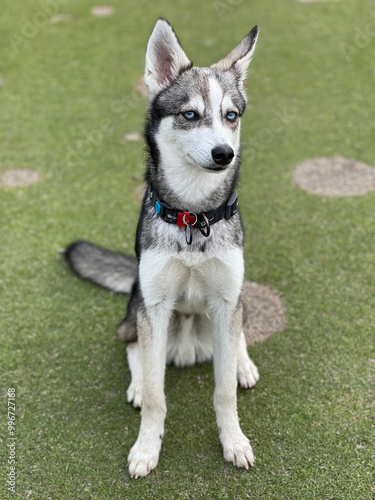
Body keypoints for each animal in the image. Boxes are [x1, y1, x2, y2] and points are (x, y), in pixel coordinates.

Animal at [66, 18, 260, 476]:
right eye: (190, 114)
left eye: (231, 116)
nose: (224, 154)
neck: (193, 216)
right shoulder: (153, 306)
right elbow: (157, 394)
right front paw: (145, 449)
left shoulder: (226, 298)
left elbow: (224, 391)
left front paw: (234, 441)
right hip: (138, 305)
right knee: (132, 344)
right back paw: (137, 382)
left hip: (236, 298)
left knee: (238, 333)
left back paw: (243, 364)